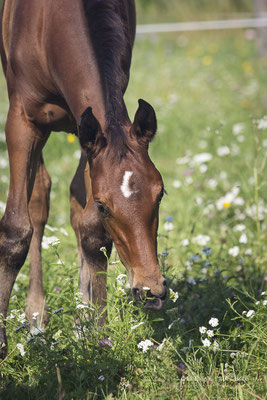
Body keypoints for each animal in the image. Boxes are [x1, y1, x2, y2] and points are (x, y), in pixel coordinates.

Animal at [0, 0, 166, 358]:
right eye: (103, 205)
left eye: (160, 194)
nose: (151, 289)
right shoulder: (21, 119)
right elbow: (16, 231)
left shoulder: (87, 129)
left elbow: (92, 233)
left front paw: (97, 331)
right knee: (39, 197)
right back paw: (35, 318)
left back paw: (79, 318)